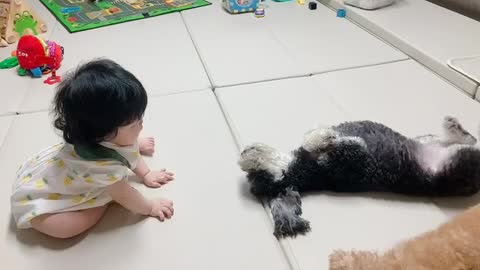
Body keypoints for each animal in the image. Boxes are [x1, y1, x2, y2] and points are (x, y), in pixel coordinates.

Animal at [240, 117, 480, 237]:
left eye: (253, 175)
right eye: (259, 176)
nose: (243, 154)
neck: (302, 171)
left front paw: (317, 134)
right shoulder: (353, 155)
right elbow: (329, 142)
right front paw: (322, 136)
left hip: (437, 144)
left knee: (461, 139)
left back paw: (450, 127)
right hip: (459, 162)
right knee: (472, 142)